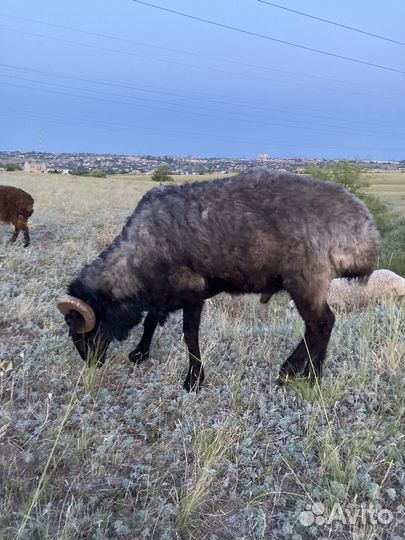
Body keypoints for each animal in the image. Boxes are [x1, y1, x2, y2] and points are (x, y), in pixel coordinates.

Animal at [56, 169, 376, 388]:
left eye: (81, 331)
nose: (91, 364)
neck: (139, 250)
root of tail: (364, 229)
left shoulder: (191, 291)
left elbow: (189, 335)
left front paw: (194, 379)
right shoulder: (163, 292)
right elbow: (151, 321)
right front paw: (140, 353)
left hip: (306, 282)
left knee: (321, 324)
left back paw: (299, 374)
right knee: (319, 326)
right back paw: (305, 373)